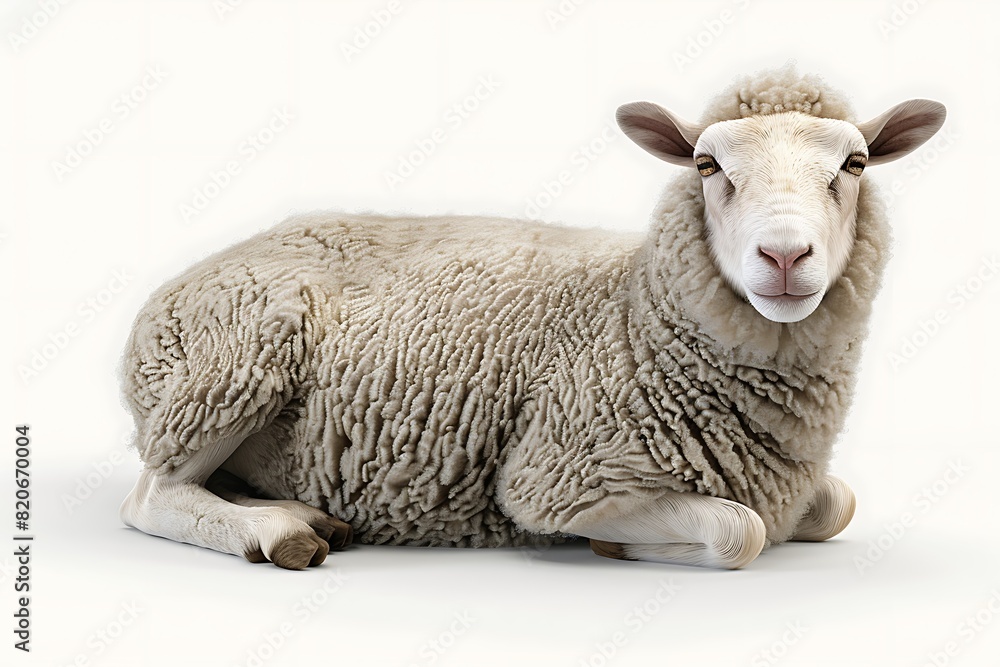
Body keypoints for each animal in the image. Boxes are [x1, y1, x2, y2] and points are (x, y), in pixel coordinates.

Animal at [118, 66, 946, 570]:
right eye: (708, 166)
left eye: (855, 164)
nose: (783, 254)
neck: (634, 313)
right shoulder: (552, 473)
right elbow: (739, 529)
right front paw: (619, 546)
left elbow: (835, 503)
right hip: (242, 355)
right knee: (151, 496)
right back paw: (280, 530)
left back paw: (300, 511)